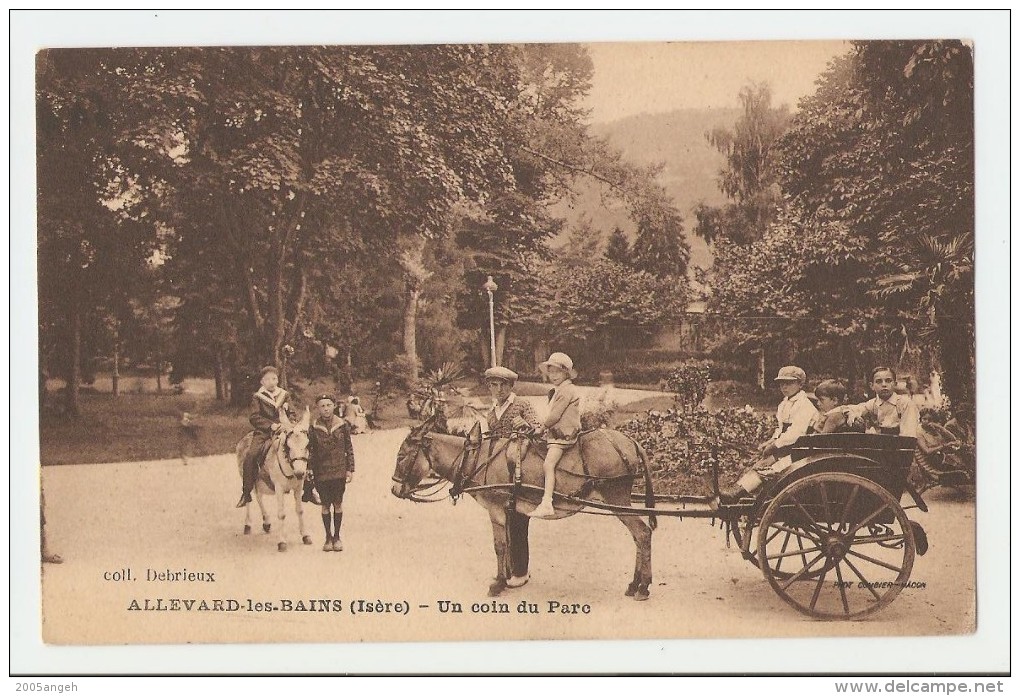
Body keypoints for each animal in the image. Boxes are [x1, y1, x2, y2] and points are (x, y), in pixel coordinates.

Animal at [236, 406, 312, 547]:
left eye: (307, 445)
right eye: (288, 446)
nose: (300, 473)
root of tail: (245, 437)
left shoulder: (298, 487)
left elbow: (300, 510)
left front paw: (305, 536)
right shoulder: (279, 488)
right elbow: (281, 514)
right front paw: (282, 542)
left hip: (259, 481)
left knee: (258, 497)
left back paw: (266, 522)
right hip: (246, 475)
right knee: (248, 496)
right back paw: (248, 524)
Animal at [385, 418, 656, 595]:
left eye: (401, 457)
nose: (395, 490)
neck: (474, 458)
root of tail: (631, 441)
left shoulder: (495, 509)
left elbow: (499, 545)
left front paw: (497, 584)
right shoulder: (507, 510)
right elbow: (508, 543)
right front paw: (506, 578)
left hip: (616, 497)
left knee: (642, 533)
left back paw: (643, 587)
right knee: (638, 536)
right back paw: (634, 584)